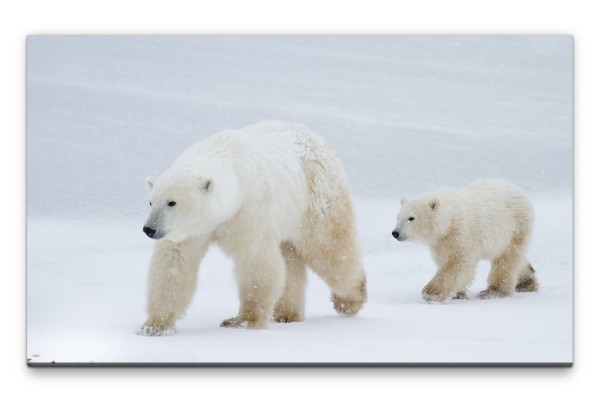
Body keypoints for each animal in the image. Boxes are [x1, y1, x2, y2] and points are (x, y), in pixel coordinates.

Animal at [138, 120, 366, 332]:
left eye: (172, 202)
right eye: (151, 202)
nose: (149, 229)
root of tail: (319, 139)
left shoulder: (250, 209)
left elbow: (255, 260)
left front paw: (243, 321)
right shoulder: (192, 230)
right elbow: (174, 263)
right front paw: (154, 326)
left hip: (317, 196)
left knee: (329, 251)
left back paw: (350, 300)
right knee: (290, 259)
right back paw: (286, 314)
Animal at [394, 180, 540, 302]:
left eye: (411, 218)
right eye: (397, 217)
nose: (395, 233)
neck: (449, 219)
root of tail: (517, 189)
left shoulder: (461, 233)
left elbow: (457, 262)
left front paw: (430, 292)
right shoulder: (440, 242)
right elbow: (445, 260)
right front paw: (459, 294)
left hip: (515, 227)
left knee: (506, 259)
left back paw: (492, 291)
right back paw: (526, 282)